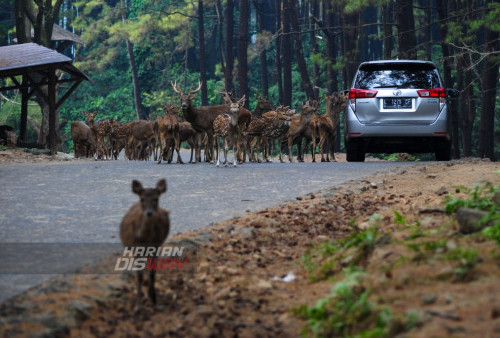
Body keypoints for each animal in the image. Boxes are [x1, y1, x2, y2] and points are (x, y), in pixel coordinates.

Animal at [119, 178, 170, 310]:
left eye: (156, 198)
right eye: (142, 198)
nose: (149, 213)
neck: (145, 238)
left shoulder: (156, 246)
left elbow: (152, 273)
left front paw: (155, 301)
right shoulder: (136, 248)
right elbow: (139, 275)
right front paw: (138, 305)